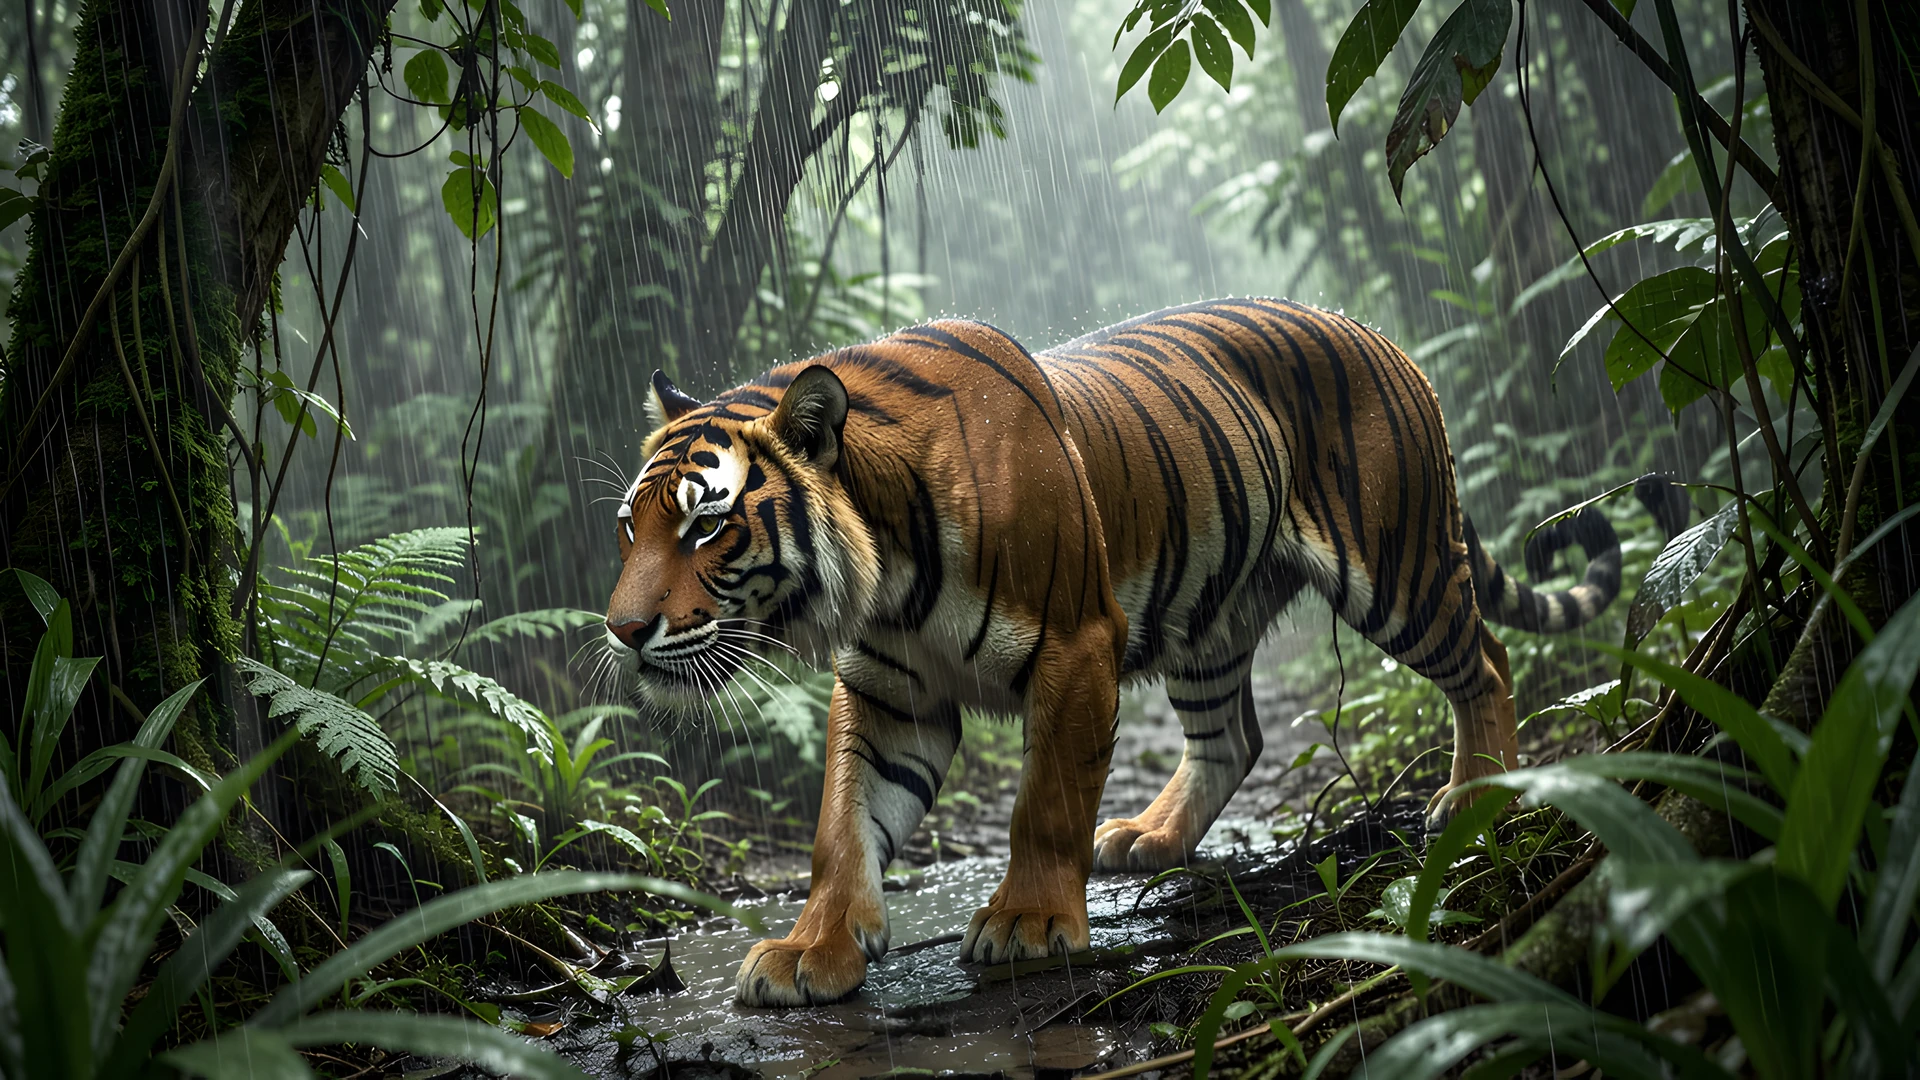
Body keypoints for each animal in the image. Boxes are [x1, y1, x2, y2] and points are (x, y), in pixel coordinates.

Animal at [602, 298, 1627, 1008]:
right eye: (629, 528)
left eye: (705, 526)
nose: (621, 631)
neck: (886, 573)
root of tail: (1382, 337)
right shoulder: (892, 691)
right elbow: (843, 827)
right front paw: (811, 952)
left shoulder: (1075, 647)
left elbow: (1047, 804)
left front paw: (1026, 923)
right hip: (1210, 621)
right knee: (1233, 739)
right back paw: (1149, 838)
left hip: (1399, 568)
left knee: (1486, 663)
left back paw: (1479, 793)